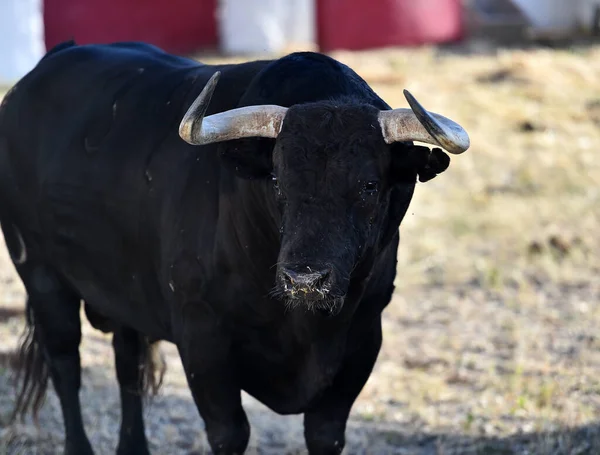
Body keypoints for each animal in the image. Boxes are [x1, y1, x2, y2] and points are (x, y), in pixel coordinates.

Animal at [0, 41, 468, 454]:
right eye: (277, 180)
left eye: (369, 185)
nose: (304, 280)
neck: (305, 327)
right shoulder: (202, 339)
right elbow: (229, 434)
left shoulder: (363, 338)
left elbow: (324, 434)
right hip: (41, 276)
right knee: (66, 366)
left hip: (122, 290)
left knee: (127, 364)